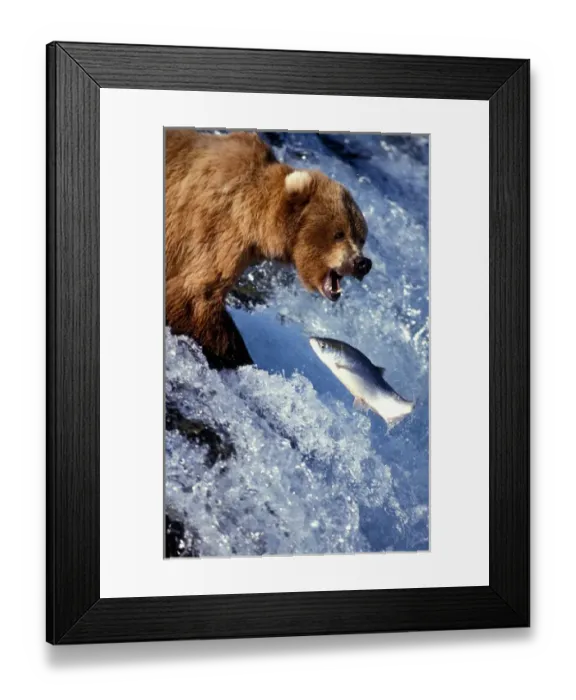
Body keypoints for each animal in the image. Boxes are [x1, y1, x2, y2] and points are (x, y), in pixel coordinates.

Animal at [165, 129, 372, 369]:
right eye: (339, 233)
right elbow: (195, 296)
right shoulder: (215, 225)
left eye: (361, 237)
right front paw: (238, 357)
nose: (362, 263)